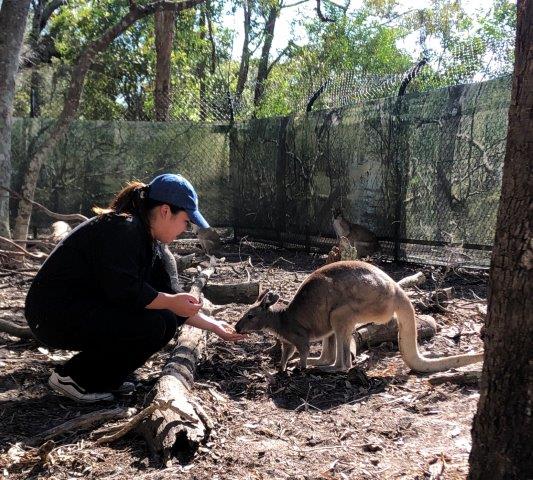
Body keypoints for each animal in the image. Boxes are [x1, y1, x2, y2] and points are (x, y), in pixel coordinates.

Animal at [235, 261, 483, 373]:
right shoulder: (288, 341)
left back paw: (324, 368)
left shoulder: (298, 336)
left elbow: (302, 348)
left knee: (343, 365)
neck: (280, 318)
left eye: (250, 316)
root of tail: (396, 288)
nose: (236, 328)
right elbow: (288, 352)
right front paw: (283, 366)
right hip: (335, 318)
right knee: (331, 351)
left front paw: (299, 368)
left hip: (346, 311)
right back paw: (319, 363)